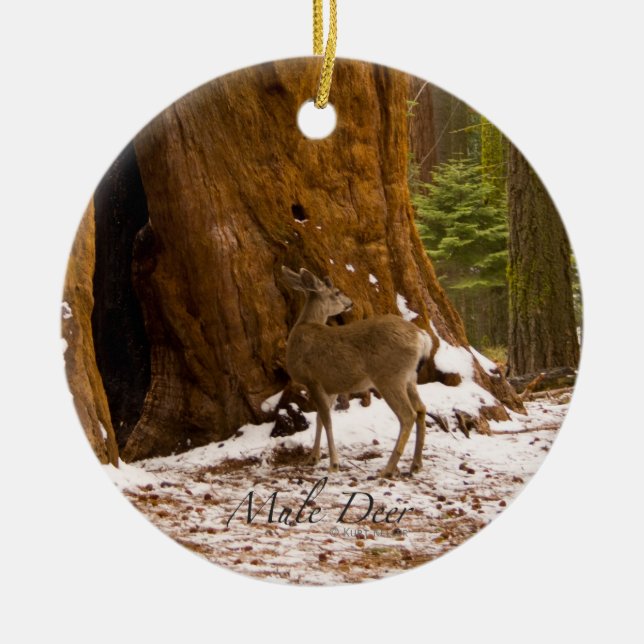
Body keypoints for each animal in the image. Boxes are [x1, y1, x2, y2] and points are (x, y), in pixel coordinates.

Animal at [281, 266, 432, 478]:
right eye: (337, 292)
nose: (350, 302)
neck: (304, 327)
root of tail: (422, 337)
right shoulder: (330, 385)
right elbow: (320, 418)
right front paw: (313, 457)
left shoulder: (313, 379)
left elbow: (327, 420)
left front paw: (333, 464)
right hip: (410, 377)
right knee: (421, 409)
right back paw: (416, 465)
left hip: (389, 376)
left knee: (407, 415)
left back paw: (388, 469)